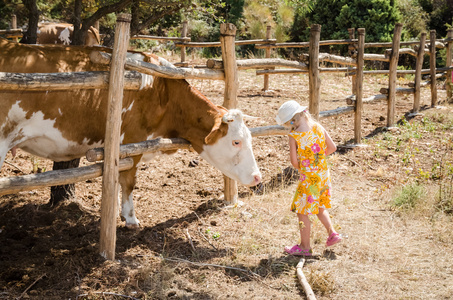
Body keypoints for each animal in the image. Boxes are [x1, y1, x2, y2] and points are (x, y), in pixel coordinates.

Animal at [0, 38, 262, 229]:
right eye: (236, 142)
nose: (258, 177)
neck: (162, 90)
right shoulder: (133, 140)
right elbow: (128, 181)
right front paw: (130, 218)